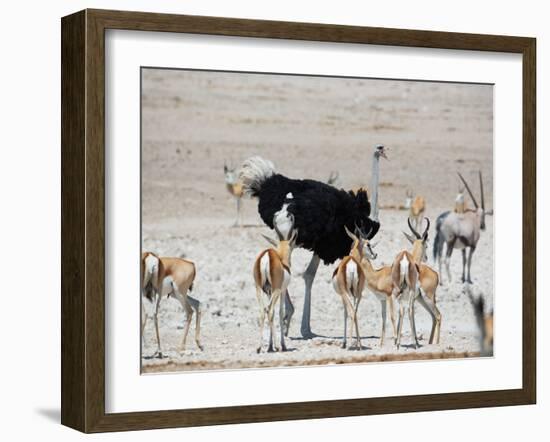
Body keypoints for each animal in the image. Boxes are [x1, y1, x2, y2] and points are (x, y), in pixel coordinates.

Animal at [253, 214, 298, 352]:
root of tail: (267, 255)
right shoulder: (282, 291)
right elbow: (281, 312)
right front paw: (282, 345)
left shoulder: (268, 292)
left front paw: (270, 346)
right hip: (276, 290)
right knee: (270, 310)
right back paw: (278, 346)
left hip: (258, 289)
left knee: (263, 310)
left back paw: (259, 347)